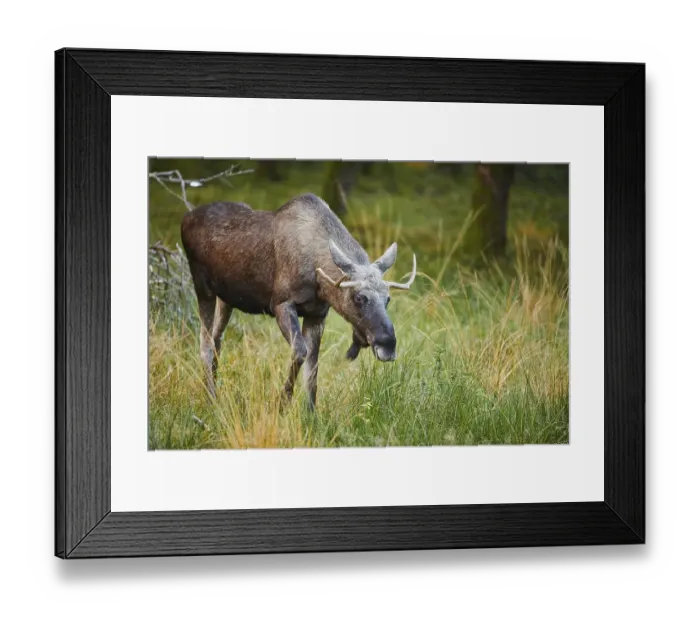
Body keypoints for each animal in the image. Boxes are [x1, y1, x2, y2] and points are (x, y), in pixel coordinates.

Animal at [181, 193, 417, 410]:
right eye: (359, 297)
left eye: (388, 299)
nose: (388, 344)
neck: (319, 279)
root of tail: (185, 219)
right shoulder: (281, 304)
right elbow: (300, 352)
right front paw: (282, 405)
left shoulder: (317, 315)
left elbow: (312, 373)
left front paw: (311, 415)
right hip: (203, 287)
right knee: (205, 344)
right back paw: (211, 399)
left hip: (226, 299)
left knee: (217, 339)